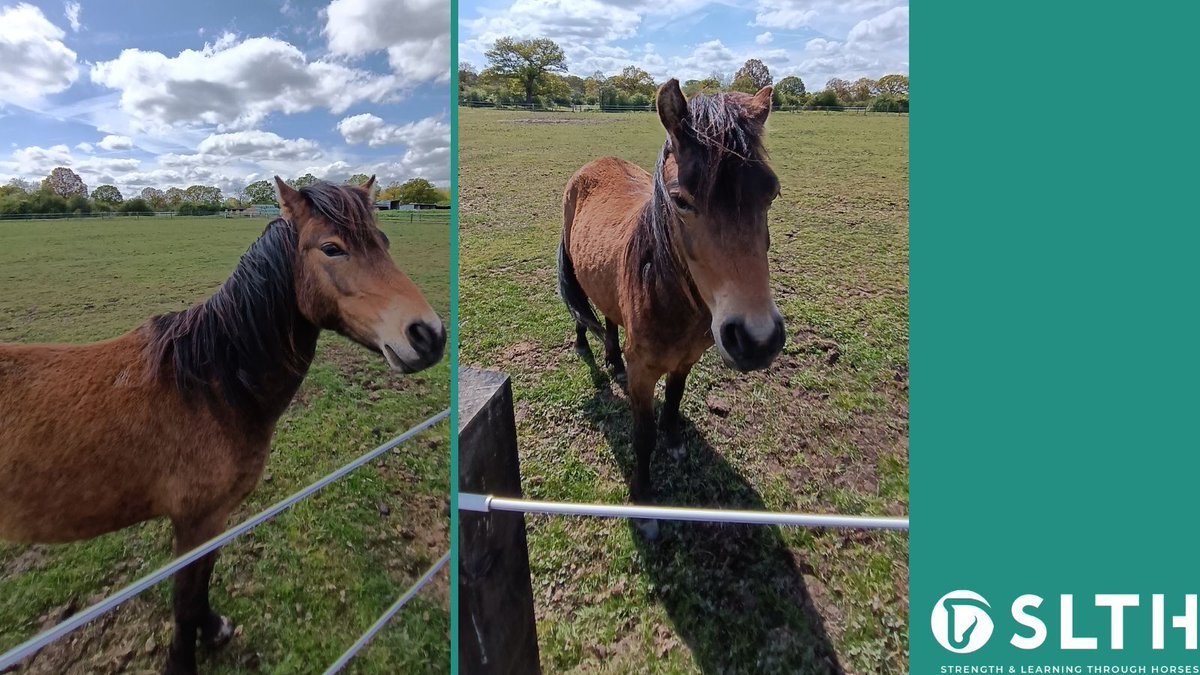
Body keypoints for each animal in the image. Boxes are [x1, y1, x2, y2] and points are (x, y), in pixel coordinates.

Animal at [0, 176, 446, 667]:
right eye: (332, 248)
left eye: (383, 241)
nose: (428, 335)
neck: (208, 387)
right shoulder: (196, 521)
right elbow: (185, 600)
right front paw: (183, 659)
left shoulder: (213, 520)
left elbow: (200, 591)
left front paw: (212, 629)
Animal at [559, 78, 787, 530]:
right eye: (681, 200)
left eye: (771, 192)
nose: (757, 339)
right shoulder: (643, 372)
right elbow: (642, 434)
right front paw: (644, 500)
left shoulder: (687, 358)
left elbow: (676, 398)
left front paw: (675, 440)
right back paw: (584, 347)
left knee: (609, 317)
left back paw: (612, 356)